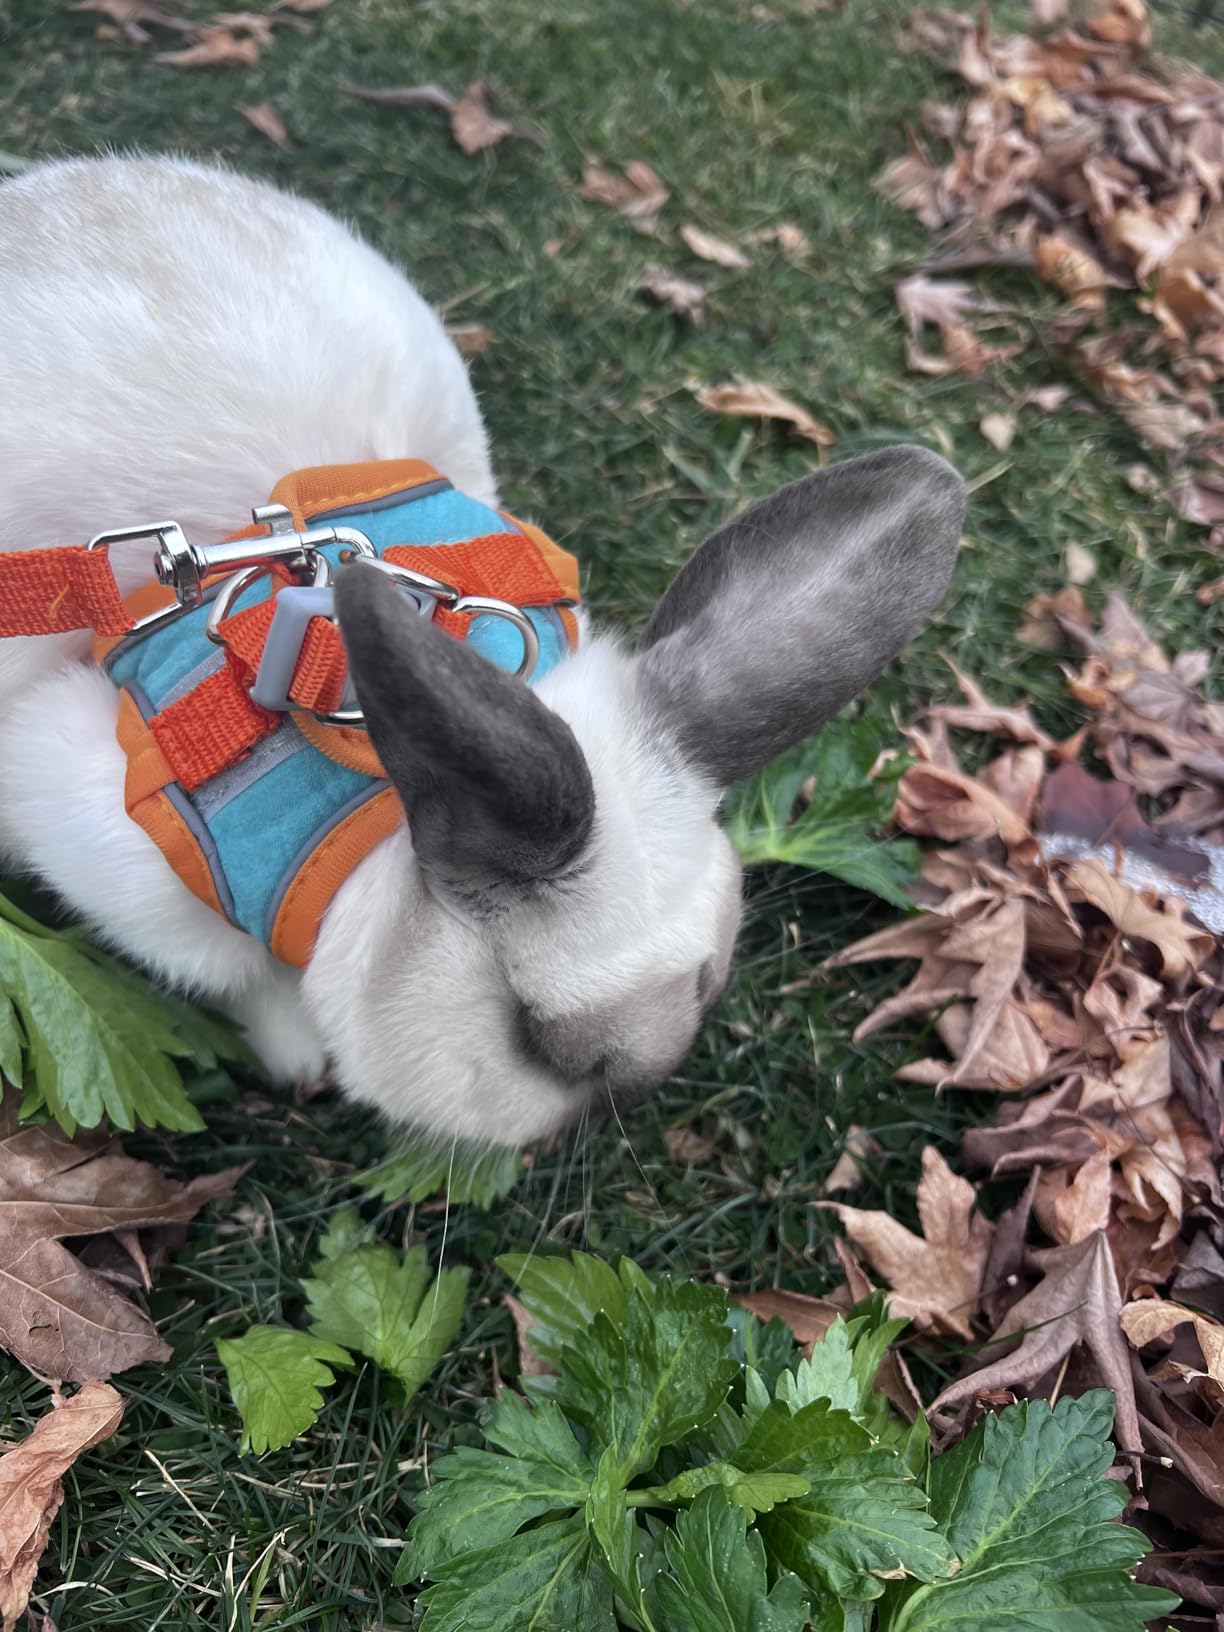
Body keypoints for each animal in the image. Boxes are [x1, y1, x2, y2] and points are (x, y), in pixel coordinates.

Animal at [0, 154, 966, 1147]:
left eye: (705, 984)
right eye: (535, 1038)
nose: (619, 1108)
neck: (366, 804)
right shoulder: (96, 827)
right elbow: (243, 974)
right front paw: (298, 1053)